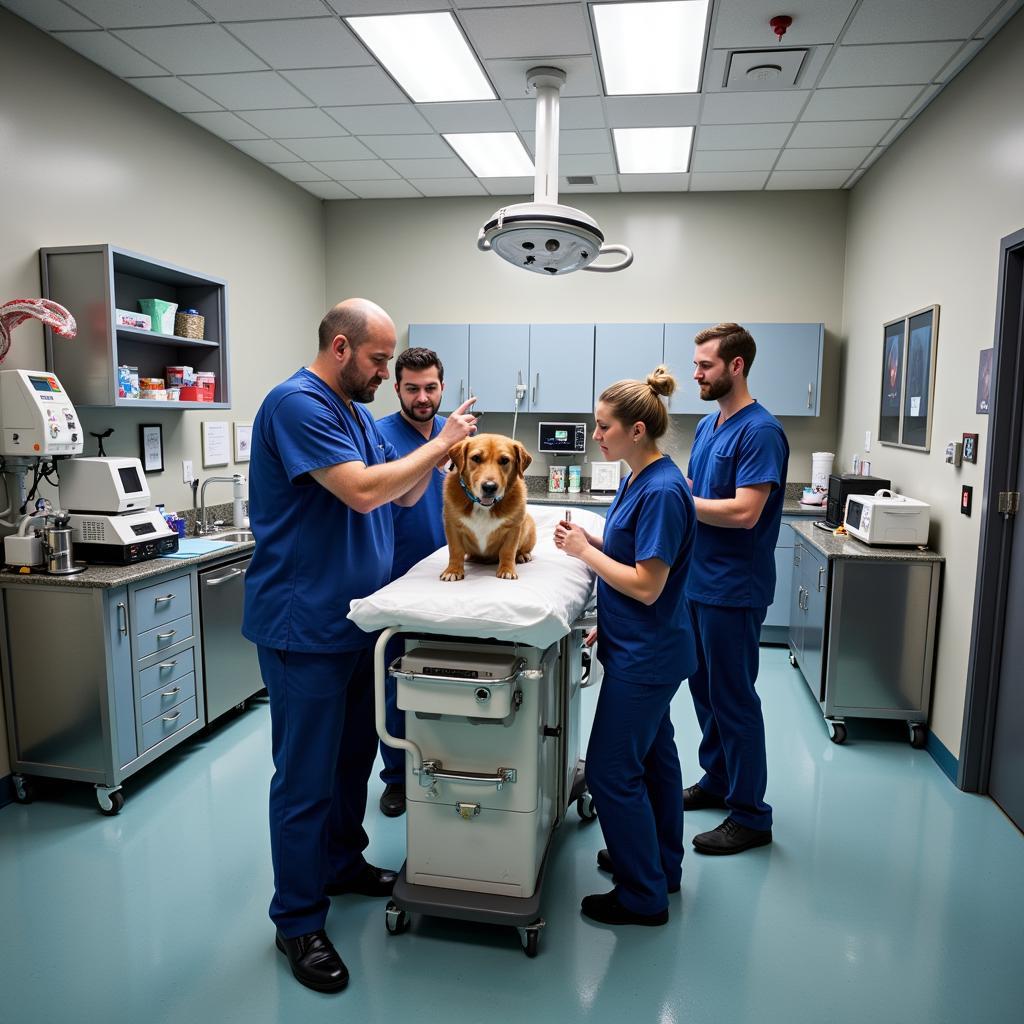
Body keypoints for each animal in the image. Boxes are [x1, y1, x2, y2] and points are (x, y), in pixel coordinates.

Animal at [440, 432, 536, 581]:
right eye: (476, 458)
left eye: (504, 460)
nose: (489, 487)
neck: (483, 507)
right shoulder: (452, 526)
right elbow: (455, 550)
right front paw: (453, 570)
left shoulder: (513, 528)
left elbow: (508, 551)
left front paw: (507, 569)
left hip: (529, 525)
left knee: (521, 550)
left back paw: (522, 555)